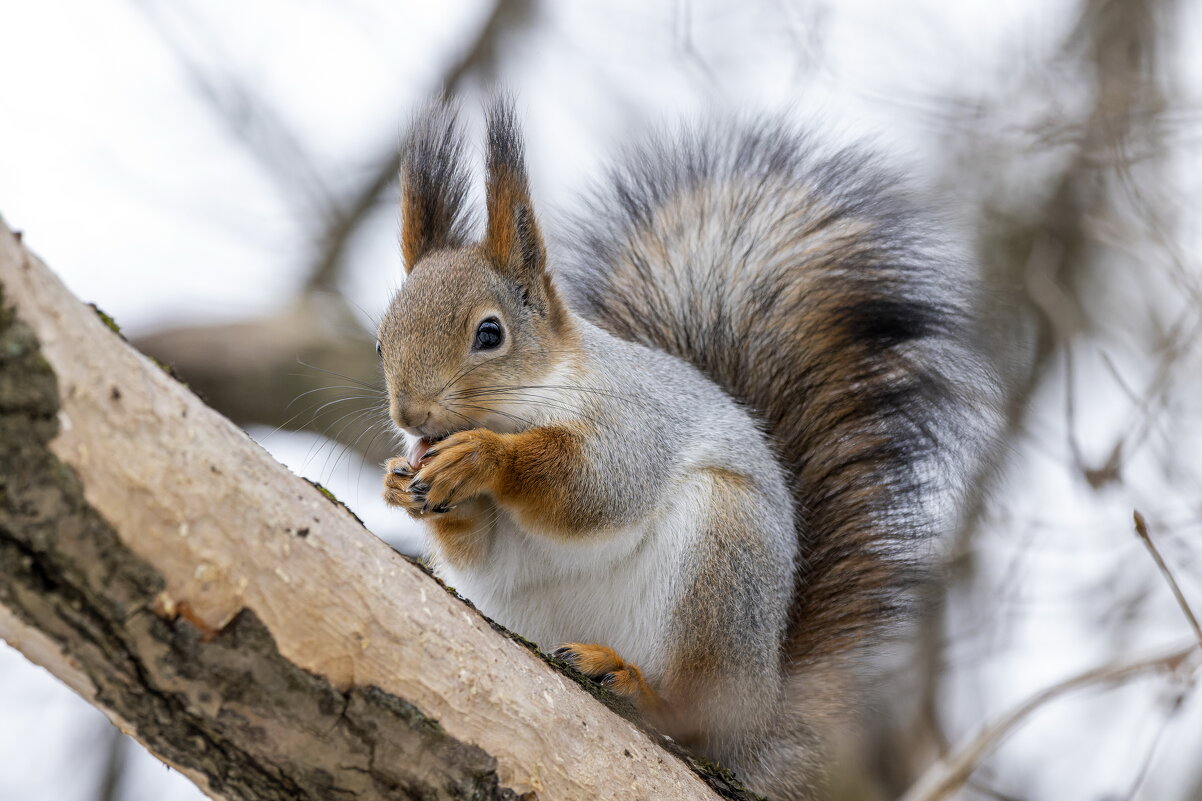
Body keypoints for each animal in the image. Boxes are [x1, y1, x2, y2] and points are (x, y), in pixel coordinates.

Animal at [375, 99, 995, 798]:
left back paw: (630, 684)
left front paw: (482, 457)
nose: (409, 416)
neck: (532, 399)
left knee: (691, 716)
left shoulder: (635, 426)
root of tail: (757, 717)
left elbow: (592, 489)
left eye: (490, 334)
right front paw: (400, 481)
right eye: (381, 340)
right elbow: (481, 551)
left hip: (721, 565)